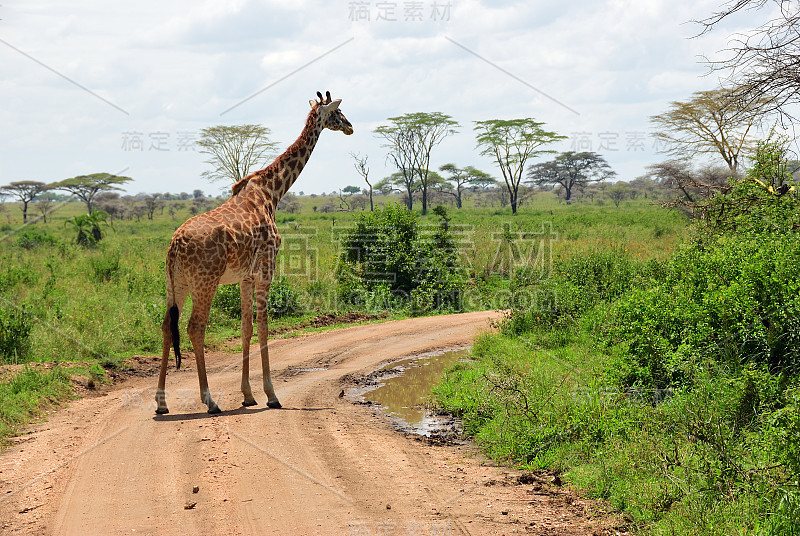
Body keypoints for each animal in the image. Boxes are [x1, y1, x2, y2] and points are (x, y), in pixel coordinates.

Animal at [155, 91, 354, 414]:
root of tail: (174, 245)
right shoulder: (266, 267)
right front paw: (271, 395)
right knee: (195, 327)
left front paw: (248, 395)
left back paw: (161, 402)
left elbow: (246, 327)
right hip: (205, 282)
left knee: (165, 326)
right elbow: (263, 326)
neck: (273, 192)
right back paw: (210, 400)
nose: (351, 126)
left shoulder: (245, 276)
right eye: (338, 113)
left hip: (176, 283)